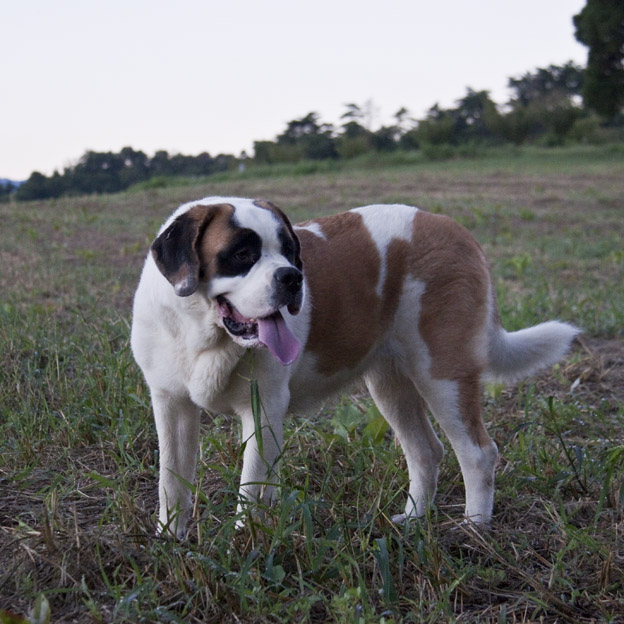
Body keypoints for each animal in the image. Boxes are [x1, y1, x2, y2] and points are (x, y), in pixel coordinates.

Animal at [132, 196, 580, 536]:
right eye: (242, 254)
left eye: (291, 251)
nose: (293, 277)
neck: (202, 335)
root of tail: (453, 228)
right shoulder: (171, 405)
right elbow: (171, 477)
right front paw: (170, 540)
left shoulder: (263, 408)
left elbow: (251, 486)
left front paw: (244, 543)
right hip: (390, 386)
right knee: (426, 451)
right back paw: (414, 519)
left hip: (443, 374)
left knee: (478, 452)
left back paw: (473, 528)